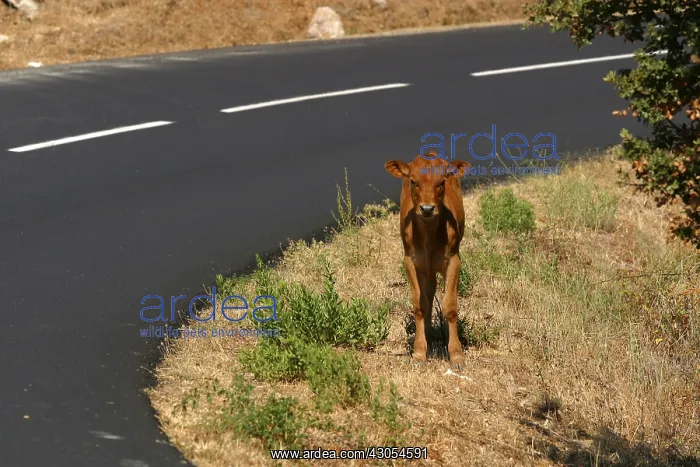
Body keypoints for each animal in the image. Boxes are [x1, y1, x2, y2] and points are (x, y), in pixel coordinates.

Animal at [384, 153, 471, 370]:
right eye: (413, 181)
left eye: (441, 182)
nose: (427, 208)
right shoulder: (410, 261)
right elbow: (419, 305)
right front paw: (419, 351)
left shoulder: (454, 260)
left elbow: (450, 306)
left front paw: (456, 355)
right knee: (428, 296)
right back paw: (428, 337)